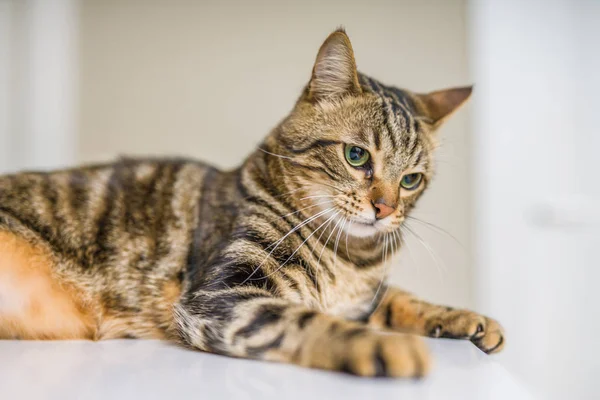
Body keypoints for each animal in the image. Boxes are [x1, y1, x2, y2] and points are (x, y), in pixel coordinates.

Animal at [0, 29, 502, 376]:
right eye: (357, 156)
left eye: (412, 180)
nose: (385, 210)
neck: (350, 258)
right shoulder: (223, 294)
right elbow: (306, 320)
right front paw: (383, 346)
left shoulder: (364, 293)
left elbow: (400, 297)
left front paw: (467, 318)